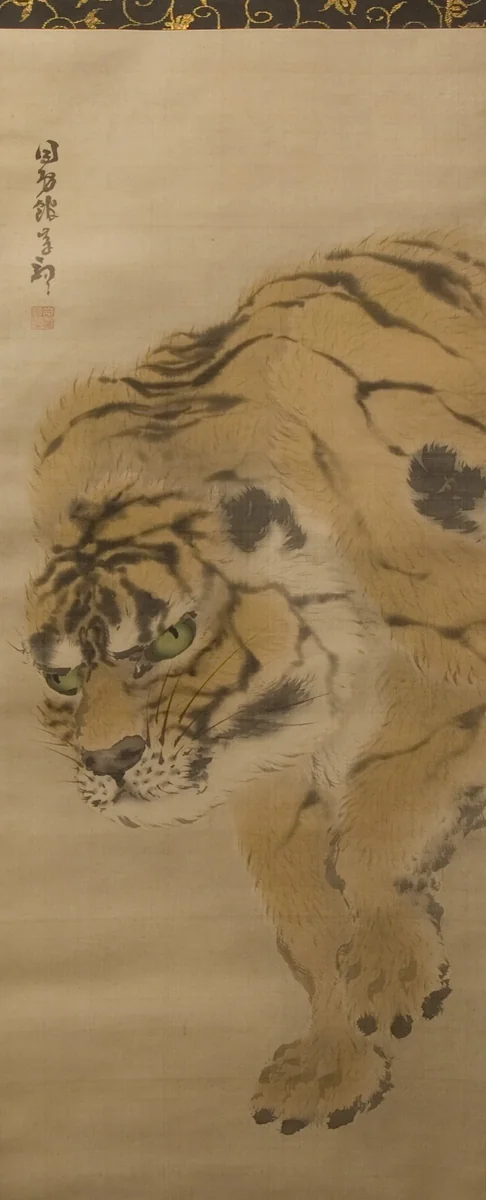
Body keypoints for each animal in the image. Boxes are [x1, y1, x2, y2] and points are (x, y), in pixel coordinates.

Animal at [25, 230, 486, 1135]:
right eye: (62, 679)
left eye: (173, 636)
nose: (107, 761)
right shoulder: (266, 769)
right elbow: (302, 914)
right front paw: (337, 1061)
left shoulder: (459, 658)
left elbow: (383, 803)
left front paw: (388, 968)